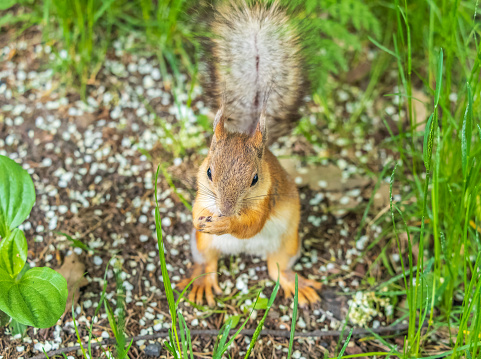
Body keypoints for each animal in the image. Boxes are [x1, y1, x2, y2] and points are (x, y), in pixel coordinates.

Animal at [176, 1, 318, 308]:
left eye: (254, 179)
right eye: (208, 171)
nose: (226, 209)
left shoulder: (267, 198)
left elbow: (250, 225)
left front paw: (227, 222)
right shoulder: (201, 195)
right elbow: (195, 211)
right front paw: (201, 218)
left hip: (288, 244)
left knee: (278, 269)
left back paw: (296, 284)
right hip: (201, 244)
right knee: (208, 263)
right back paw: (201, 281)